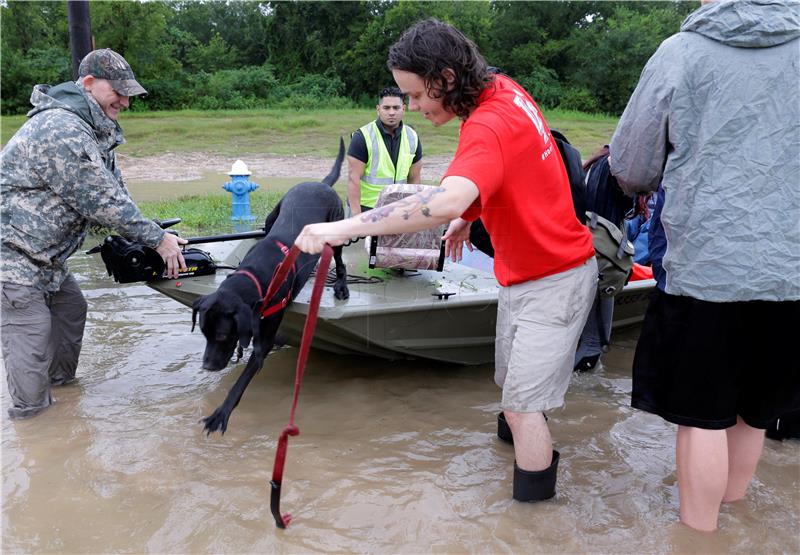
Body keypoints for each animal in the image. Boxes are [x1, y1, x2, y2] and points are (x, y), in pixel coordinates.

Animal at [192, 139, 348, 434]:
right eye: (203, 333)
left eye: (221, 335)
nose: (207, 367)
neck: (255, 277)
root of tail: (320, 183)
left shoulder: (261, 344)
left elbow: (240, 383)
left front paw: (220, 414)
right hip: (270, 216)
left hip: (335, 233)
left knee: (340, 260)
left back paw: (342, 286)